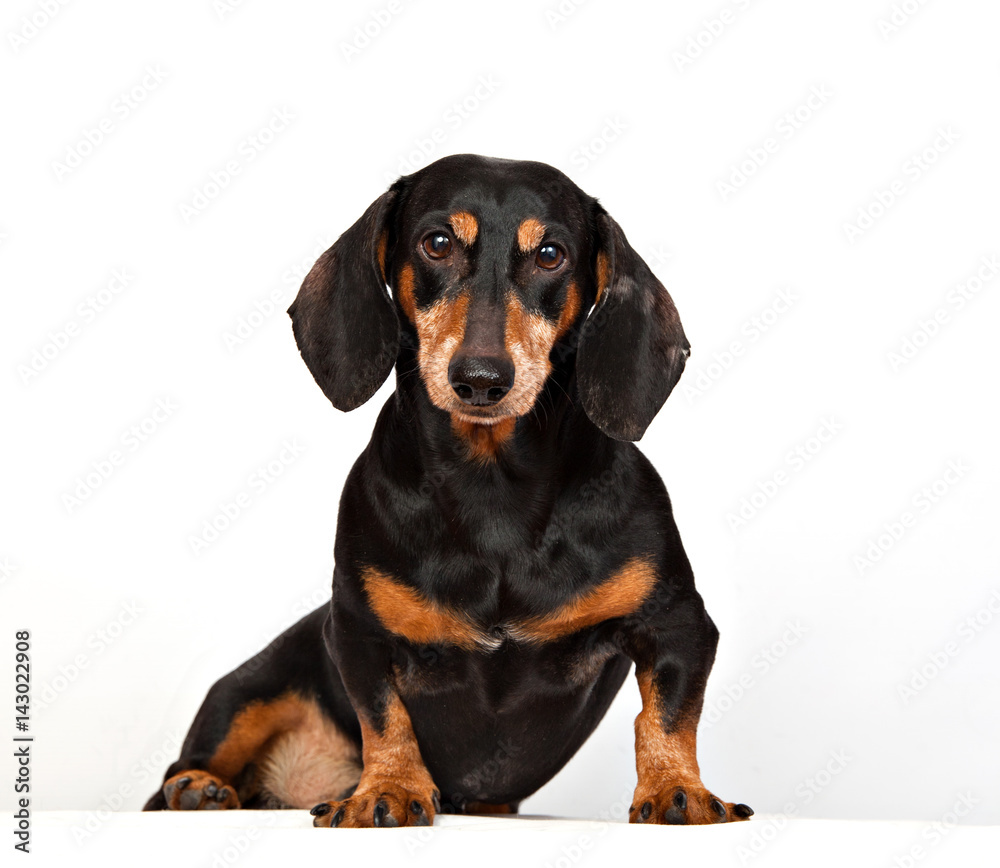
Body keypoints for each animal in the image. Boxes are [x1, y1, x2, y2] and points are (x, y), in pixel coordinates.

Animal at [143, 154, 752, 828]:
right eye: (436, 243)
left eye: (551, 254)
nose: (481, 379)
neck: (493, 492)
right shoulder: (355, 633)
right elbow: (385, 719)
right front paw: (388, 790)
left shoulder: (678, 623)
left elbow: (666, 718)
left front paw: (677, 789)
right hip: (246, 692)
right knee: (187, 765)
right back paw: (199, 789)